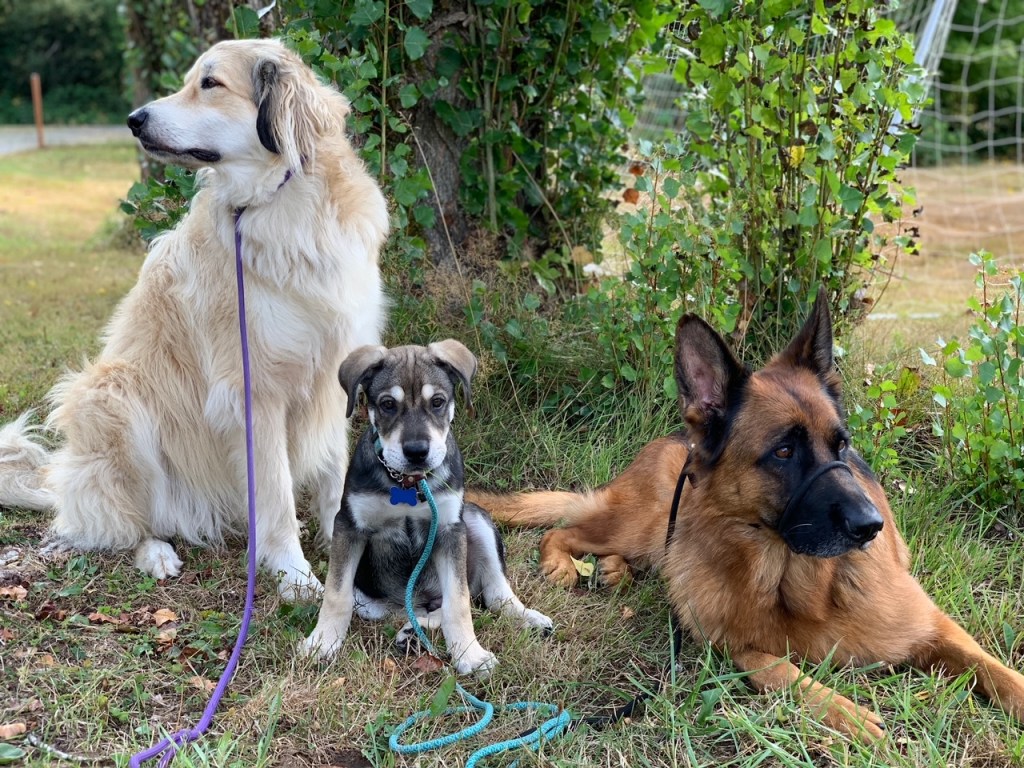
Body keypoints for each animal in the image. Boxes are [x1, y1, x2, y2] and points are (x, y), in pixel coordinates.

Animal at [0, 39, 389, 601]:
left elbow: (335, 480)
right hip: (114, 397)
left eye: (210, 84)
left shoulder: (335, 376)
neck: (284, 199)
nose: (133, 120)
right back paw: (156, 553)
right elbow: (275, 495)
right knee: (123, 524)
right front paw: (294, 576)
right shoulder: (254, 393)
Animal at [302, 340, 552, 675]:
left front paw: (470, 655)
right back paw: (411, 631)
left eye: (437, 402)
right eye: (387, 404)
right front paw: (323, 642)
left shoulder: (448, 530)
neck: (407, 483)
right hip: (370, 603)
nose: (417, 452)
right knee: (413, 611)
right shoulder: (349, 526)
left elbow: (459, 603)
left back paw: (527, 618)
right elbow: (335, 592)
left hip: (475, 518)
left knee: (492, 596)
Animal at [470, 289, 1024, 739]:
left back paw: (613, 571)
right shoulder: (735, 650)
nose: (871, 528)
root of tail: (676, 439)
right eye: (783, 451)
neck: (799, 581)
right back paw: (564, 564)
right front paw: (843, 713)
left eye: (841, 445)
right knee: (565, 530)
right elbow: (785, 672)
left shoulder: (935, 628)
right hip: (640, 526)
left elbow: (990, 666)